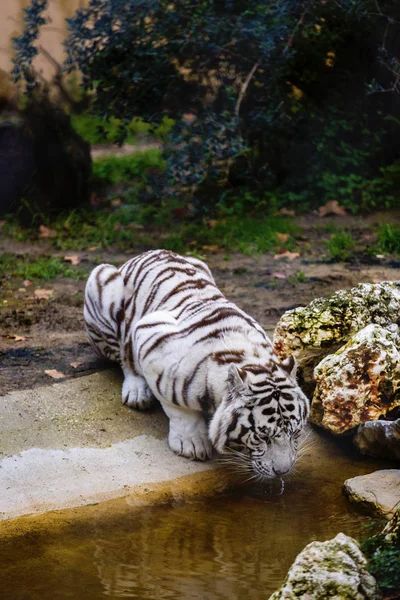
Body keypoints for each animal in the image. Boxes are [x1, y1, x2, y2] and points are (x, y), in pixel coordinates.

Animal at [84, 248, 310, 478]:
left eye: (295, 433)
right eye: (262, 437)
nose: (282, 471)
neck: (250, 359)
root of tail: (149, 252)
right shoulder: (149, 334)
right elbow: (176, 408)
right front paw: (191, 443)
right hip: (101, 281)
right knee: (124, 355)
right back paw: (137, 392)